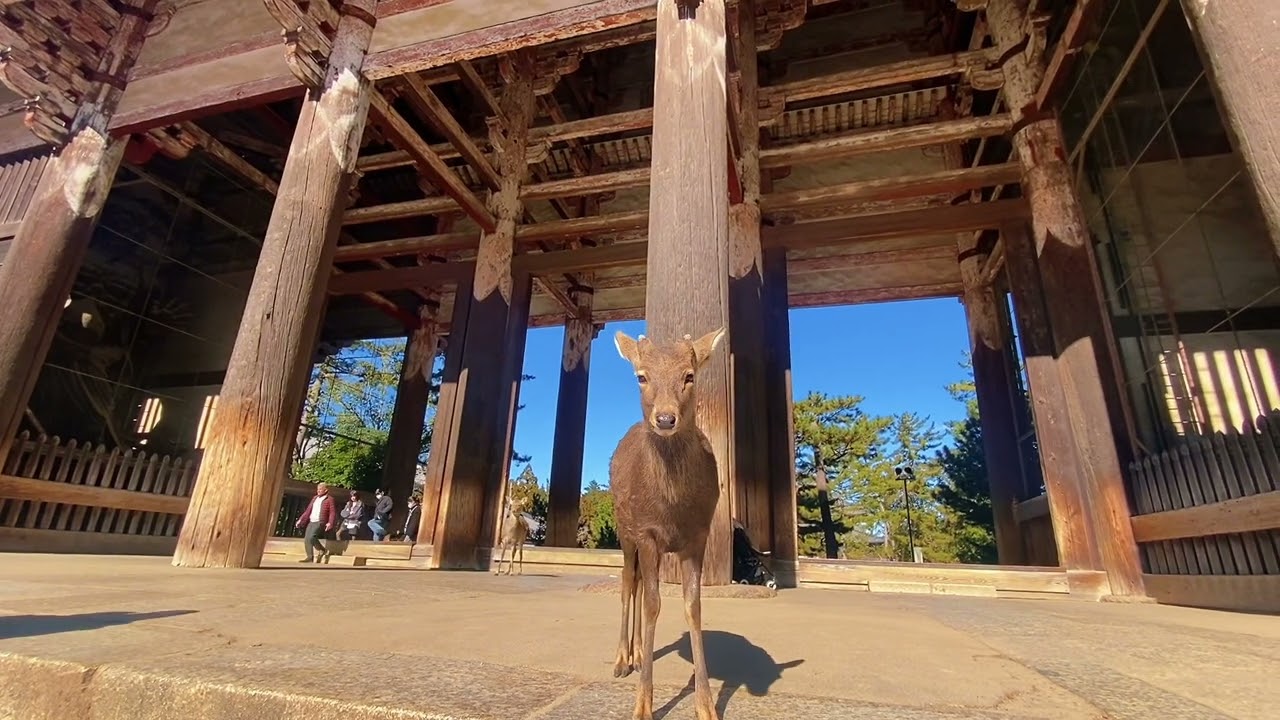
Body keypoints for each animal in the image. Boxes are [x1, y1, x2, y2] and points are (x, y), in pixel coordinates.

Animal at [609, 327, 726, 720]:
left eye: (689, 376)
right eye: (641, 377)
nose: (664, 419)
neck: (673, 508)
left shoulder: (699, 535)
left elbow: (693, 606)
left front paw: (706, 705)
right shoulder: (646, 532)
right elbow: (652, 604)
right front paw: (643, 706)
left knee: (639, 583)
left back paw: (638, 653)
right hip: (624, 530)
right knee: (628, 582)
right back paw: (622, 659)